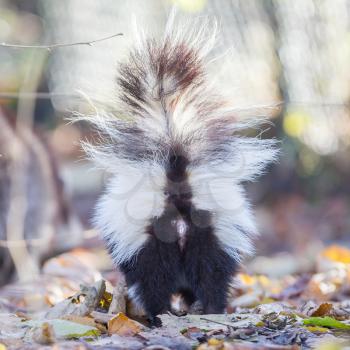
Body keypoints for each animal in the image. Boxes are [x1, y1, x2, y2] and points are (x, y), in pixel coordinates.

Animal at [80, 13, 278, 326]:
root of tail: (177, 190)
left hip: (152, 243)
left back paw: (158, 315)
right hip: (211, 237)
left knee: (154, 283)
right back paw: (211, 310)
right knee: (212, 278)